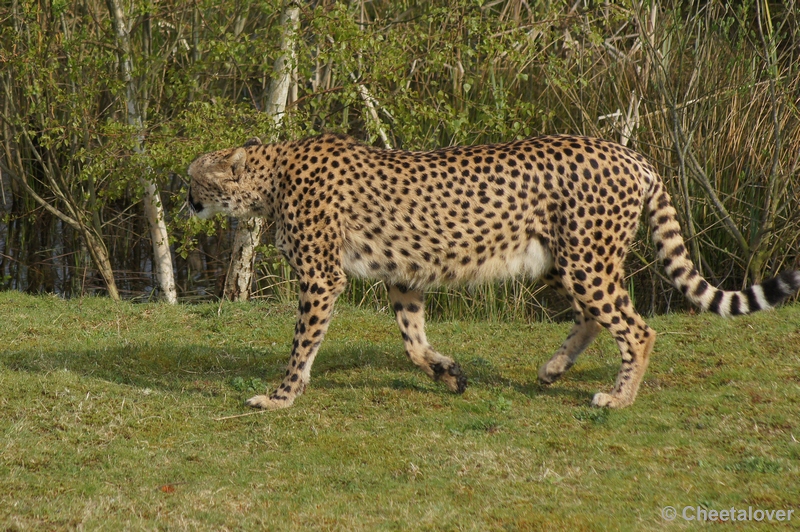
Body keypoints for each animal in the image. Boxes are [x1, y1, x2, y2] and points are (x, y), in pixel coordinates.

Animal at [189, 135, 800, 410]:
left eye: (196, 178)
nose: (187, 201)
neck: (271, 175)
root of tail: (630, 153)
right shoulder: (404, 274)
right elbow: (413, 341)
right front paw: (449, 373)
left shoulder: (322, 279)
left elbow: (301, 344)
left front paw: (280, 396)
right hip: (560, 262)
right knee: (596, 317)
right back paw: (554, 368)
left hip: (586, 260)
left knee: (637, 328)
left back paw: (618, 397)